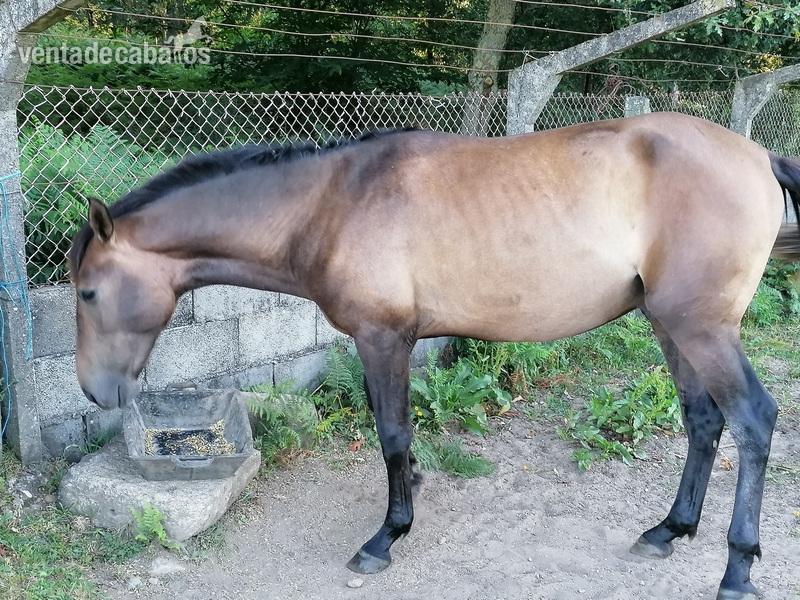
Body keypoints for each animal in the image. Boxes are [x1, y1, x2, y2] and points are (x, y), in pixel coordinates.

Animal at [69, 112, 800, 600]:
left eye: (87, 291)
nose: (96, 392)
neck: (332, 203)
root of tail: (759, 155)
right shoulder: (382, 342)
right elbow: (395, 432)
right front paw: (412, 492)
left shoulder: (383, 338)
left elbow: (392, 432)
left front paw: (386, 536)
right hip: (670, 326)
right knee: (704, 421)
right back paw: (669, 529)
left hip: (701, 328)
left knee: (754, 421)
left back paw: (737, 570)